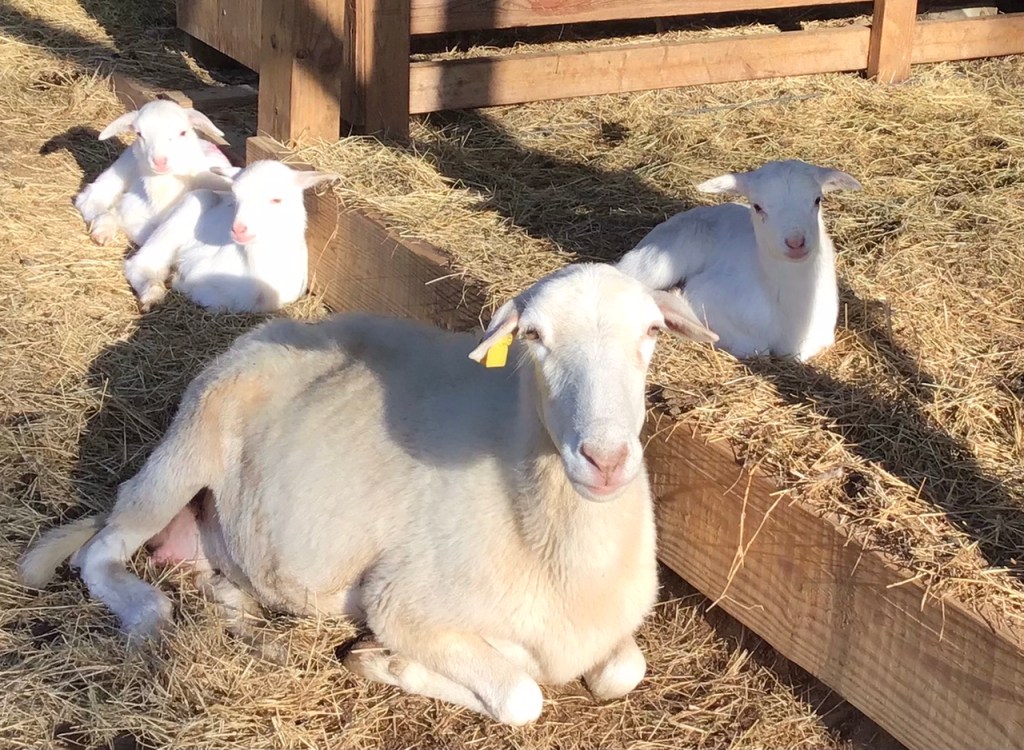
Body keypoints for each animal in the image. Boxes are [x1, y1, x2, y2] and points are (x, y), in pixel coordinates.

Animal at [20, 263, 717, 726]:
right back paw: (149, 615)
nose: (605, 460)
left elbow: (624, 672)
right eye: (534, 337)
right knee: (102, 551)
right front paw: (387, 664)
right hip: (188, 443)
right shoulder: (404, 605)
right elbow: (523, 695)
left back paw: (253, 627)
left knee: (213, 578)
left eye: (652, 332)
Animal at [74, 100, 234, 247]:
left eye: (183, 132)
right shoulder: (130, 214)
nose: (159, 161)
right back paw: (102, 231)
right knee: (90, 199)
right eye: (139, 134)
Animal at [122, 160, 339, 313]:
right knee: (141, 262)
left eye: (277, 200)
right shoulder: (198, 266)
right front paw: (178, 281)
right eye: (235, 198)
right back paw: (152, 295)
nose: (238, 229)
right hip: (193, 204)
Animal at [616, 159, 862, 362]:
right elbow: (757, 349)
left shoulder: (821, 336)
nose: (795, 242)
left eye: (817, 200)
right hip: (656, 261)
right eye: (757, 206)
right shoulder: (704, 294)